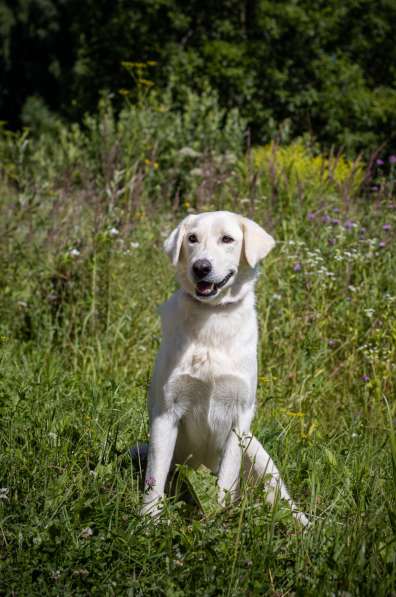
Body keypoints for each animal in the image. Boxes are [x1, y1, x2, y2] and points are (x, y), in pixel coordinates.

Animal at [140, 211, 310, 528]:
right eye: (192, 238)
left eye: (227, 239)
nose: (201, 267)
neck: (213, 316)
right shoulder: (166, 413)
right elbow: (154, 476)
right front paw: (148, 521)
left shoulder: (239, 418)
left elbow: (226, 480)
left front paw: (217, 518)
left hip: (257, 452)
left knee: (280, 494)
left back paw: (305, 525)